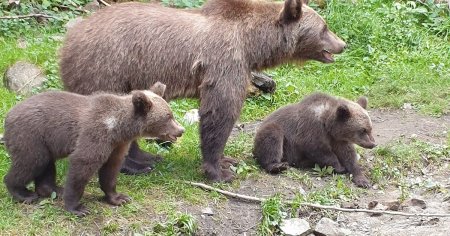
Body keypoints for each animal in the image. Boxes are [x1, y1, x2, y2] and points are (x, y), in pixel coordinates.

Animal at [59, 0, 346, 182]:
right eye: (324, 27)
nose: (342, 44)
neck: (253, 43)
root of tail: (67, 43)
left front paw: (228, 160)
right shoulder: (225, 62)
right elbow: (219, 113)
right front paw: (219, 170)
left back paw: (145, 156)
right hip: (108, 69)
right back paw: (135, 166)